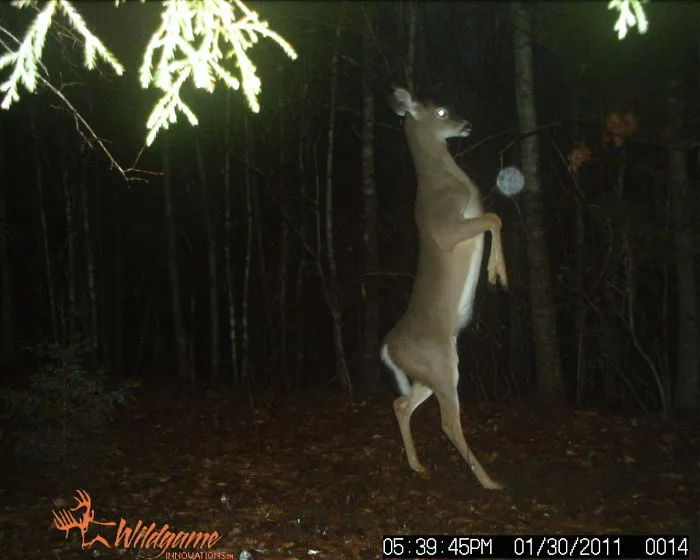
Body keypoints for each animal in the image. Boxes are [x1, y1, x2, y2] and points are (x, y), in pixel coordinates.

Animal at [380, 87, 508, 490]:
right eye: (440, 111)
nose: (466, 124)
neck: (446, 181)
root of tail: (388, 349)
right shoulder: (447, 227)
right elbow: (494, 217)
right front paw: (498, 274)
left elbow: (493, 217)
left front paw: (496, 273)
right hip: (440, 365)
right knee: (447, 422)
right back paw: (489, 482)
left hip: (429, 371)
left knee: (400, 404)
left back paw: (418, 466)